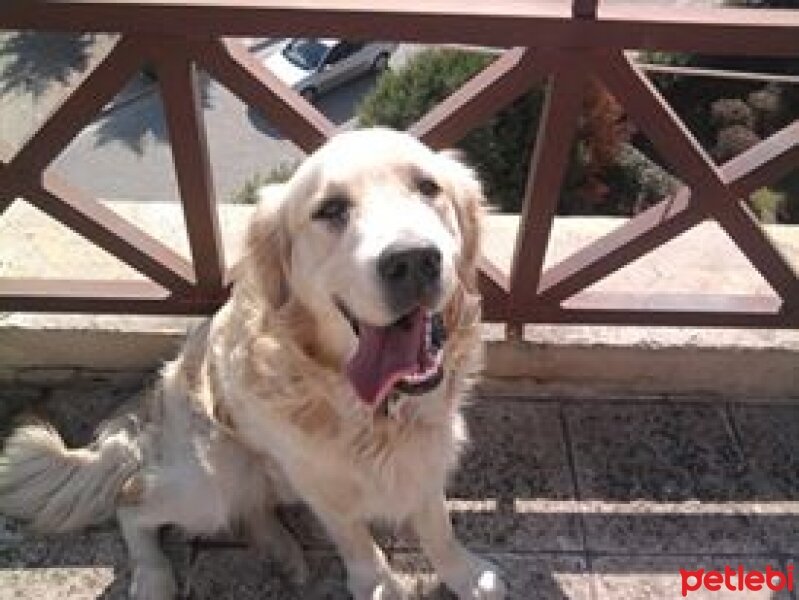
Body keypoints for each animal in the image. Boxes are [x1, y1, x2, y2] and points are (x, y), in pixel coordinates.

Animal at [1, 129, 506, 596]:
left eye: (428, 187)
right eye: (330, 210)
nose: (413, 260)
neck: (376, 410)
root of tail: (151, 407)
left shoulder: (428, 453)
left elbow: (437, 527)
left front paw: (465, 575)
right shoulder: (319, 482)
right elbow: (357, 542)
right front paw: (379, 585)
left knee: (254, 510)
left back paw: (282, 550)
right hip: (214, 478)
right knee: (133, 501)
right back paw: (154, 577)